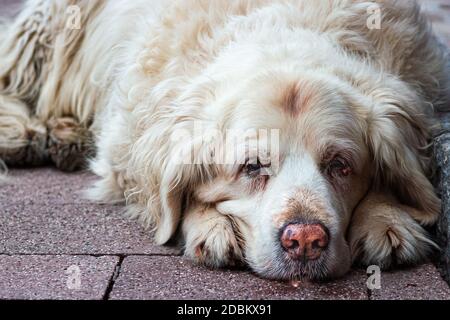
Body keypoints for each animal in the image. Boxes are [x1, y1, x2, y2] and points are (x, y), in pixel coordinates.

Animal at [0, 0, 450, 280]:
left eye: (340, 166)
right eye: (252, 167)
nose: (305, 240)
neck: (283, 33)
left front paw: (386, 218)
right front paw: (211, 225)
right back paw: (28, 132)